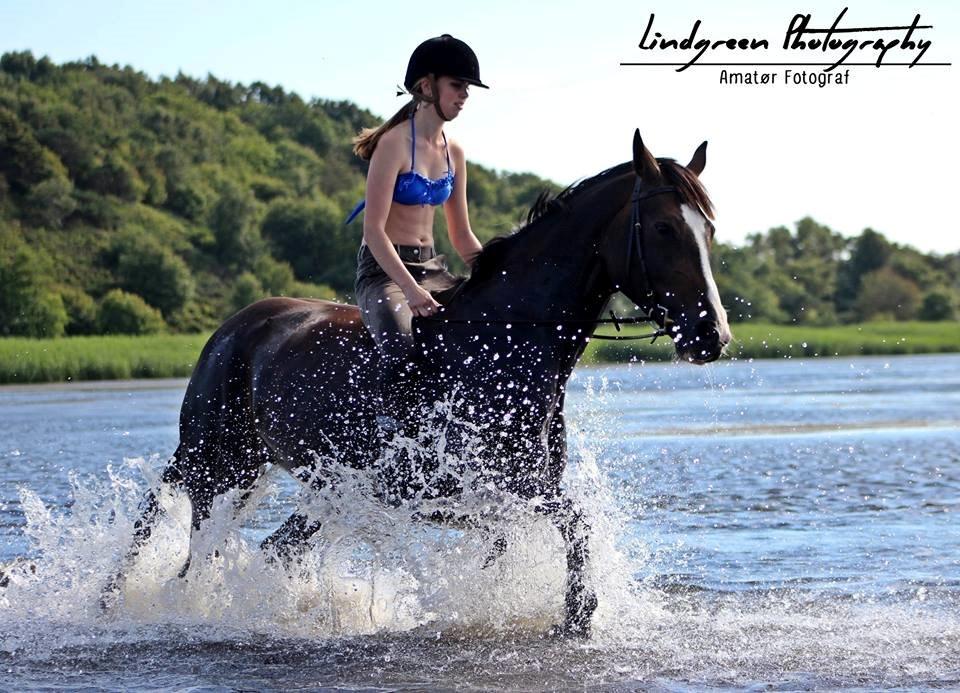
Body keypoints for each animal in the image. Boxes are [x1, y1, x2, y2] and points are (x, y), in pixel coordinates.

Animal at [101, 131, 732, 636]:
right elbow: (577, 524)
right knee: (182, 543)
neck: (501, 345)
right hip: (214, 461)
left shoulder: (502, 497)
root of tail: (236, 325)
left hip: (306, 483)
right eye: (664, 227)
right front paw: (576, 615)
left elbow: (528, 542)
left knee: (271, 549)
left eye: (709, 231)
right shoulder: (488, 489)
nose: (713, 336)